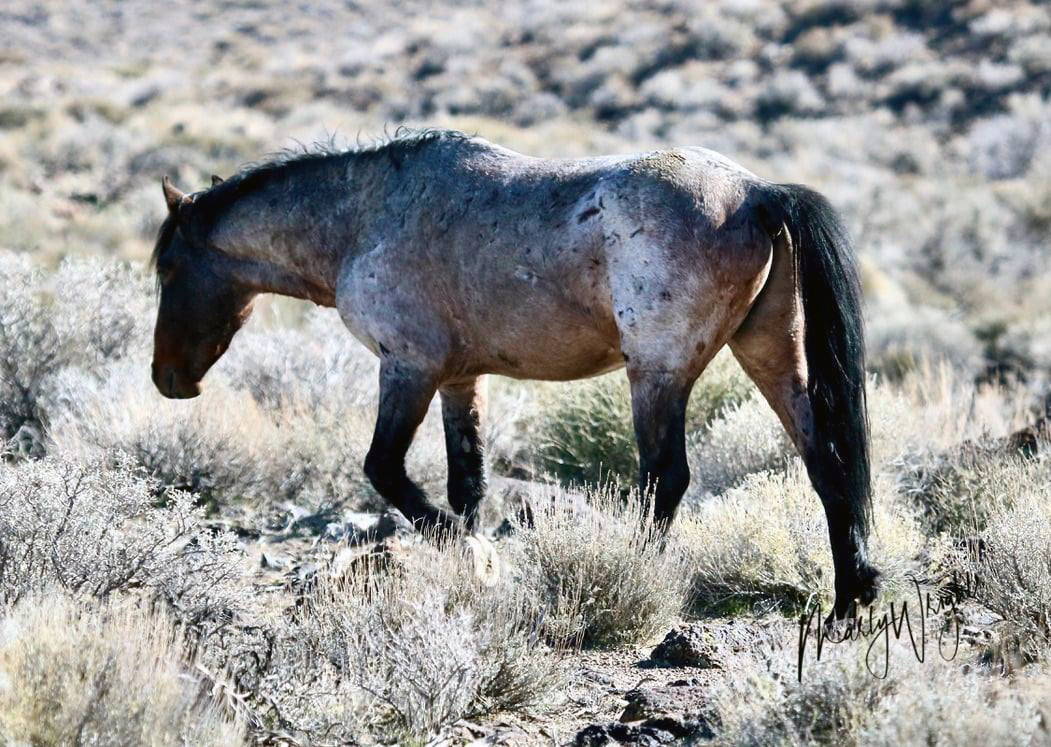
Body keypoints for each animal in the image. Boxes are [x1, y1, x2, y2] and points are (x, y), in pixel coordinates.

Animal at [151, 128, 878, 618]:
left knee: (664, 480)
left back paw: (633, 579)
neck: (363, 217)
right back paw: (851, 598)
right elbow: (466, 484)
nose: (167, 379)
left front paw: (476, 559)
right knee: (825, 461)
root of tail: (757, 194)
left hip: (657, 373)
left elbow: (386, 470)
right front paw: (473, 565)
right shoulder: (458, 379)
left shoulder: (408, 368)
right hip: (770, 354)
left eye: (167, 267)